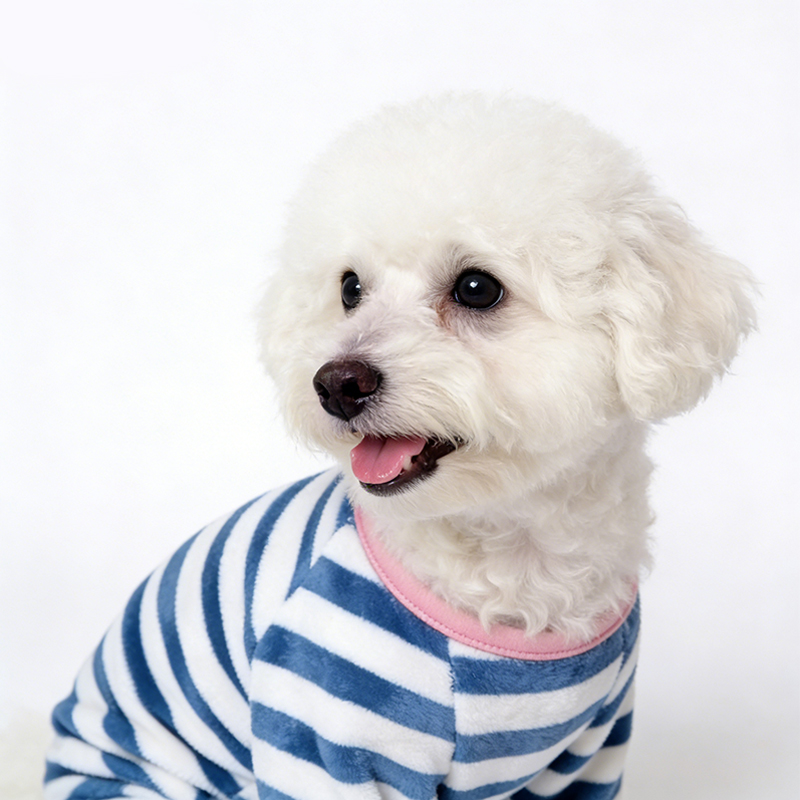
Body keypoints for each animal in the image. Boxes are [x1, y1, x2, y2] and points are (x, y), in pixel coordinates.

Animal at [44, 95, 755, 800]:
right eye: (349, 288)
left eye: (476, 288)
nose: (336, 383)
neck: (511, 569)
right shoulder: (322, 737)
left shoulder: (587, 754)